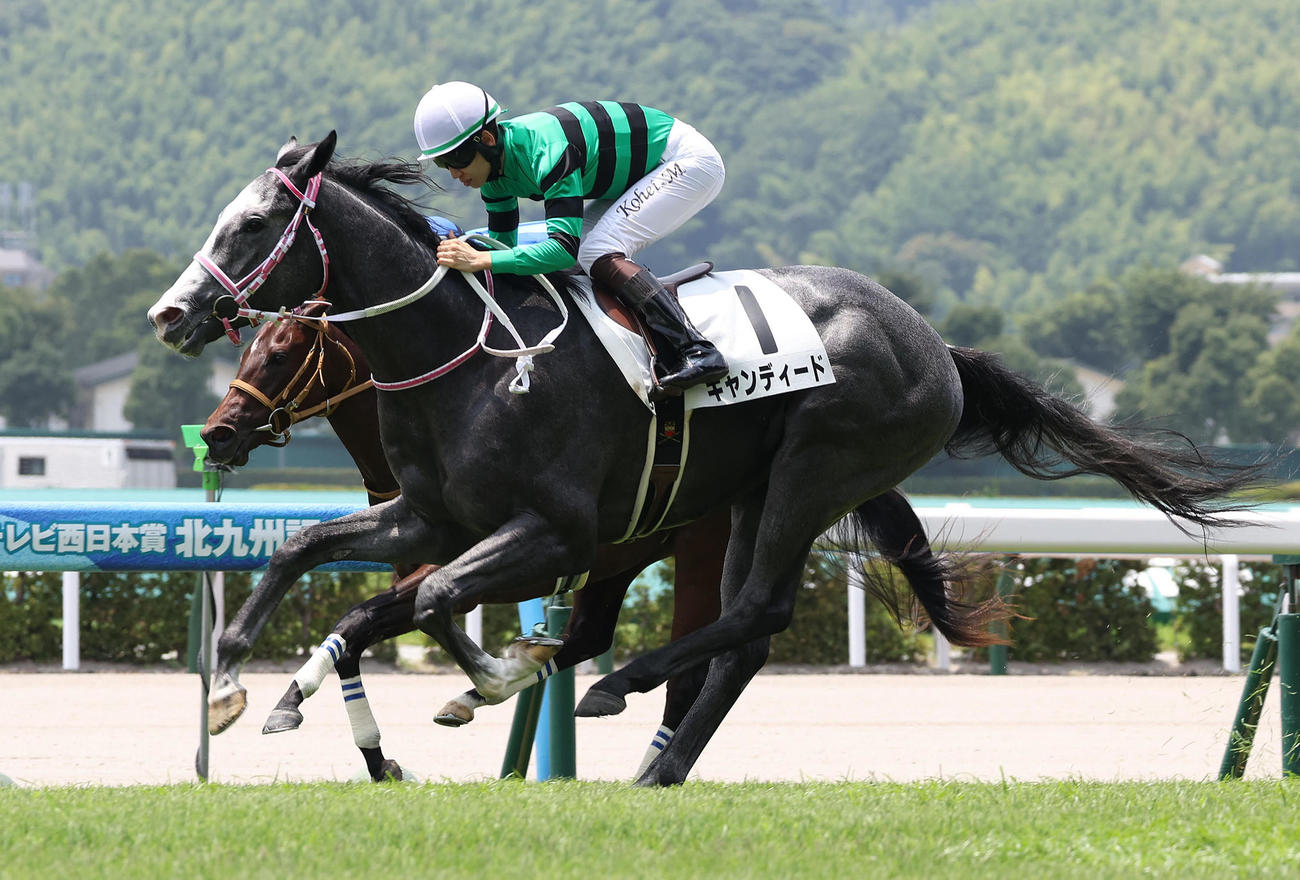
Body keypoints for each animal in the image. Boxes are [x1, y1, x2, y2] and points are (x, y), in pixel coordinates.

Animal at [149, 132, 1256, 785]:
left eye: (255, 223)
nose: (171, 313)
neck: (474, 361)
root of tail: (937, 345)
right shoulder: (431, 514)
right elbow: (317, 559)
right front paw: (240, 681)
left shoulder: (554, 532)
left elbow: (426, 598)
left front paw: (494, 676)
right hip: (752, 494)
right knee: (739, 635)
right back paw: (652, 760)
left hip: (814, 472)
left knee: (755, 613)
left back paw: (624, 691)